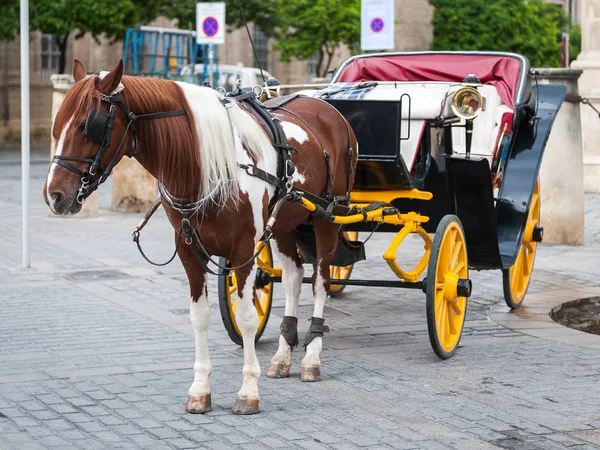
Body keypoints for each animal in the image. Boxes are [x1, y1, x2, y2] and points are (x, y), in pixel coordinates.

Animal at [45, 59, 360, 414]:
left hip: (328, 217)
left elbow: (247, 316)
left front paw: (248, 390)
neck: (207, 167)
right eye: (58, 124)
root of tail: (325, 108)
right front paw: (200, 388)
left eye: (88, 126)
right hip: (284, 224)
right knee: (294, 277)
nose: (54, 195)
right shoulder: (188, 249)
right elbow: (199, 316)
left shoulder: (244, 249)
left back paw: (312, 358)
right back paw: (282, 355)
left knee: (320, 280)